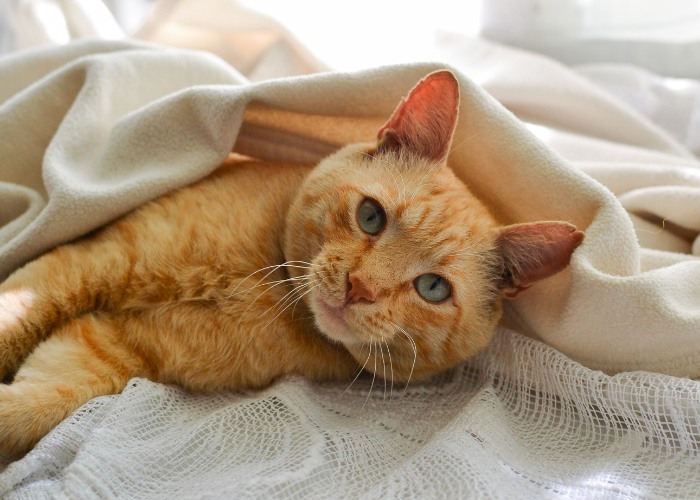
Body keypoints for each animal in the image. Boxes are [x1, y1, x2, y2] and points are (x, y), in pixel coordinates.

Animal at [0, 70, 584, 458]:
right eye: (371, 216)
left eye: (433, 288)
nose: (359, 287)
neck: (267, 287)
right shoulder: (89, 261)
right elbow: (15, 318)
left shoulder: (111, 349)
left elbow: (33, 405)